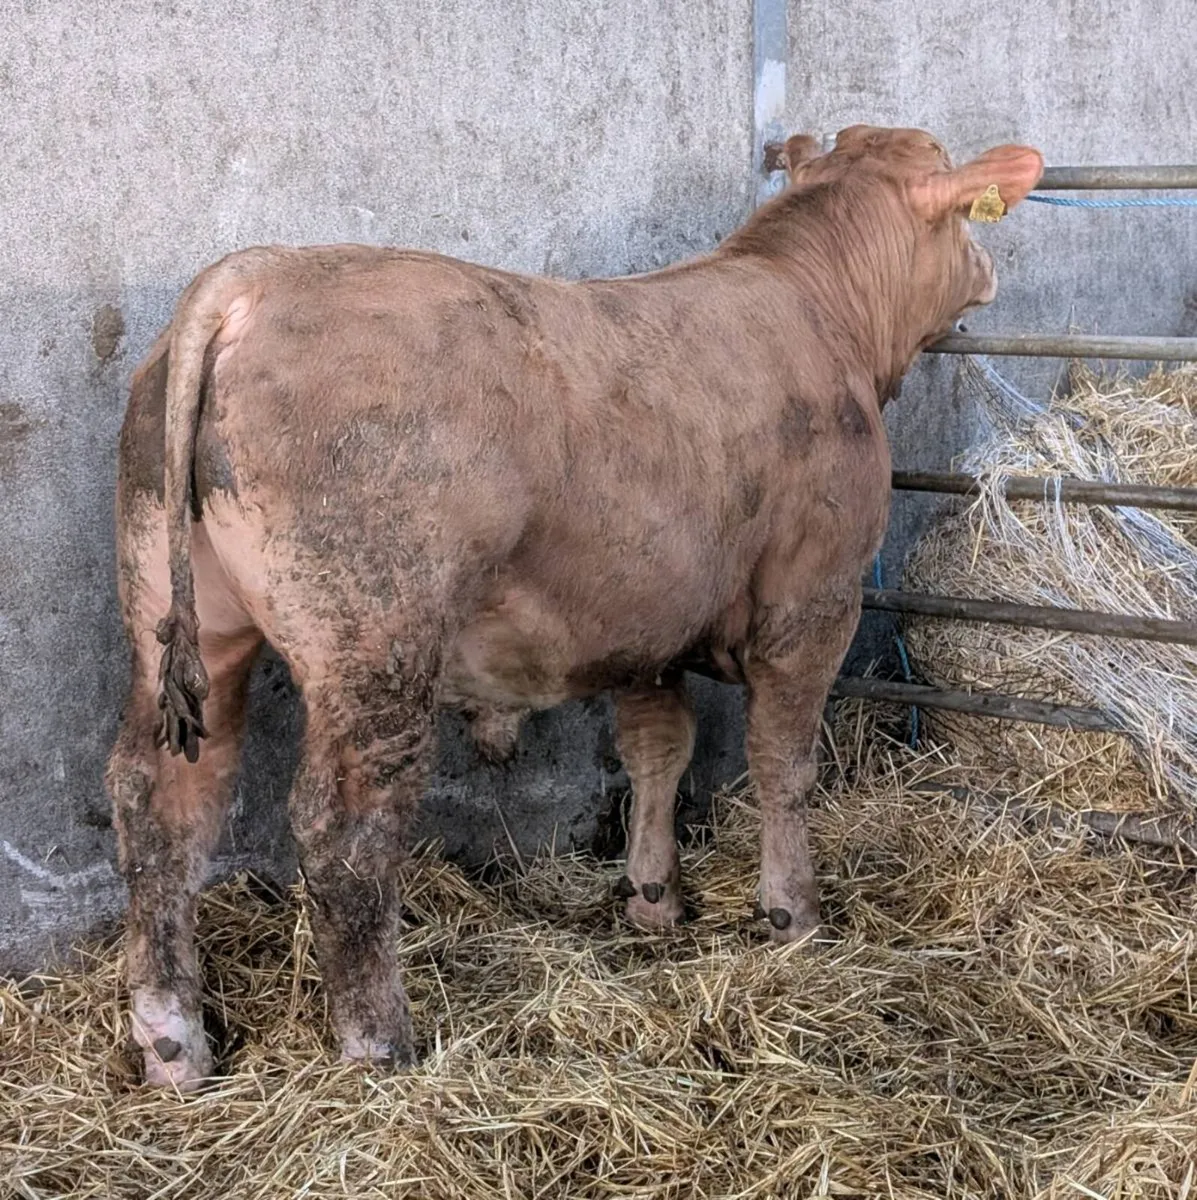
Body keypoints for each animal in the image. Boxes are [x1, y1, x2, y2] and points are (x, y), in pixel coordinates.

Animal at [107, 125, 1043, 1088]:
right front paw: (793, 916)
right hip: (374, 640)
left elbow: (657, 751)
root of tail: (255, 277)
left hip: (181, 617)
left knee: (159, 800)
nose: (988, 273)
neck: (815, 308)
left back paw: (174, 1043)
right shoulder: (813, 601)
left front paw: (653, 899)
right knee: (344, 830)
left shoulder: (646, 617)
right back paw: (380, 1046)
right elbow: (782, 763)